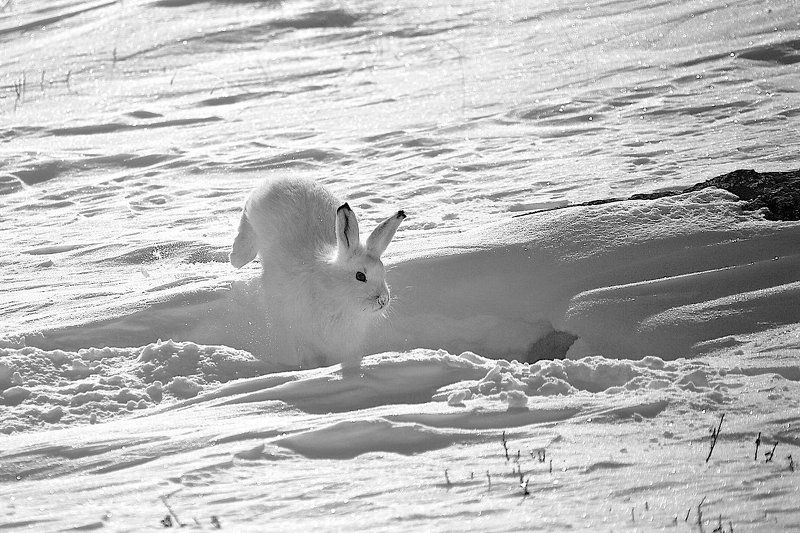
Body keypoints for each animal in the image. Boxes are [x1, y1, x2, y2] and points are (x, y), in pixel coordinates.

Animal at [229, 177, 405, 372]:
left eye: (382, 272)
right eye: (360, 276)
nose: (383, 300)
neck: (333, 291)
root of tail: (283, 179)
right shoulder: (301, 335)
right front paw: (313, 370)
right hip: (255, 216)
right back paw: (235, 257)